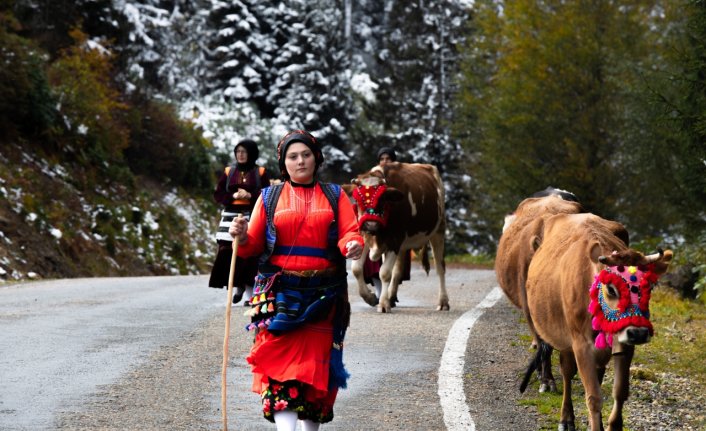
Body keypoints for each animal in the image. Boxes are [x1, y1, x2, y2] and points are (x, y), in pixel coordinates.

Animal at [346, 162, 446, 314]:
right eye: (357, 199)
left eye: (382, 198)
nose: (370, 225)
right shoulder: (365, 236)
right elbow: (356, 269)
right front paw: (370, 298)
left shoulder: (394, 241)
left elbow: (384, 273)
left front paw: (382, 304)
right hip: (403, 245)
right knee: (398, 271)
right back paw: (391, 297)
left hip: (438, 231)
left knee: (440, 268)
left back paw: (443, 302)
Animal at [524, 213, 672, 431]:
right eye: (611, 288)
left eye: (650, 286)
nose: (638, 333)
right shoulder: (581, 344)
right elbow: (593, 397)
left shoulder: (625, 343)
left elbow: (620, 391)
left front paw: (614, 425)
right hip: (562, 336)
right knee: (567, 373)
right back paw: (566, 418)